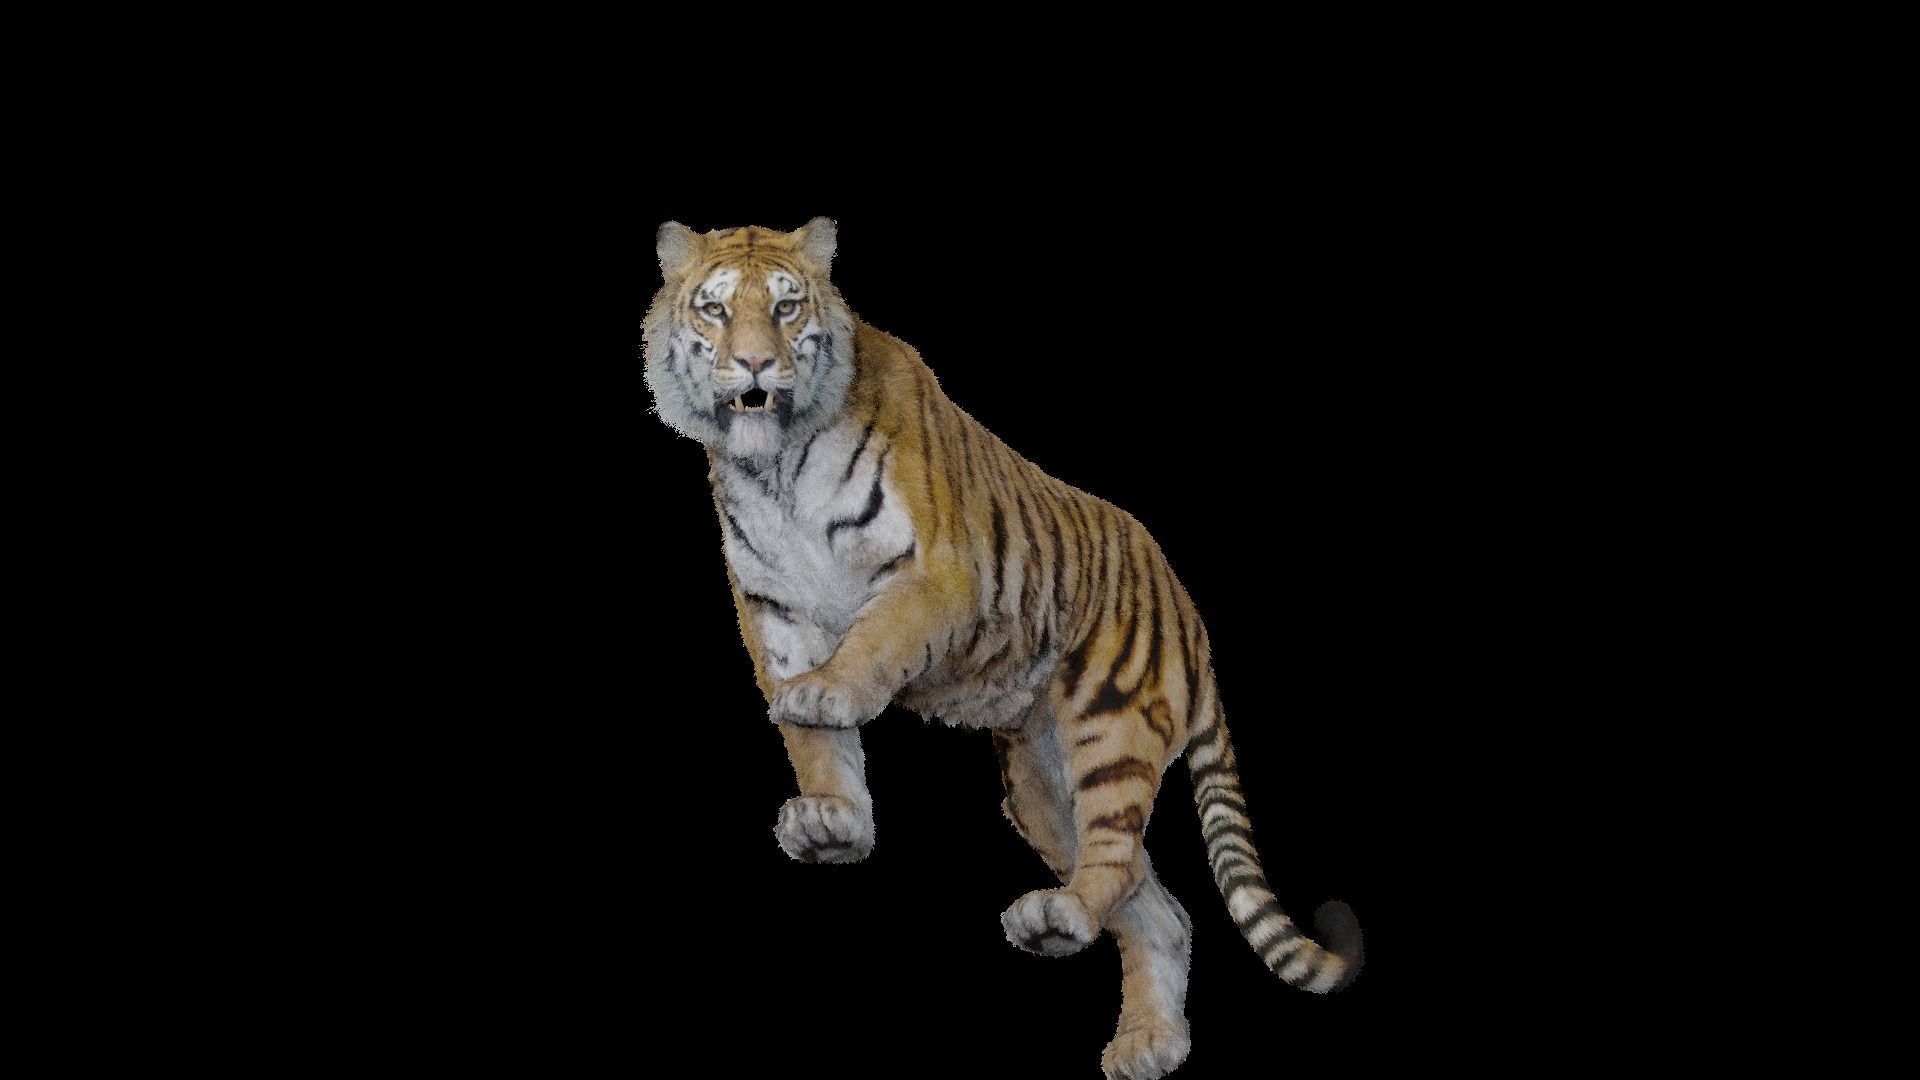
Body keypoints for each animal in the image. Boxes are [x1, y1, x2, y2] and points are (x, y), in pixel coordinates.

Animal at [641, 218, 1362, 1080]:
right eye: (714, 310)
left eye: (786, 308)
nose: (753, 362)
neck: (774, 463)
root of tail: (1193, 618)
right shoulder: (771, 605)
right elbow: (813, 742)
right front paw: (835, 820)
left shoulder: (935, 573)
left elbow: (868, 645)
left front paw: (832, 692)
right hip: (1041, 785)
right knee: (1158, 908)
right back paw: (1143, 1039)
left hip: (1110, 725)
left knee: (1117, 861)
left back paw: (1059, 921)